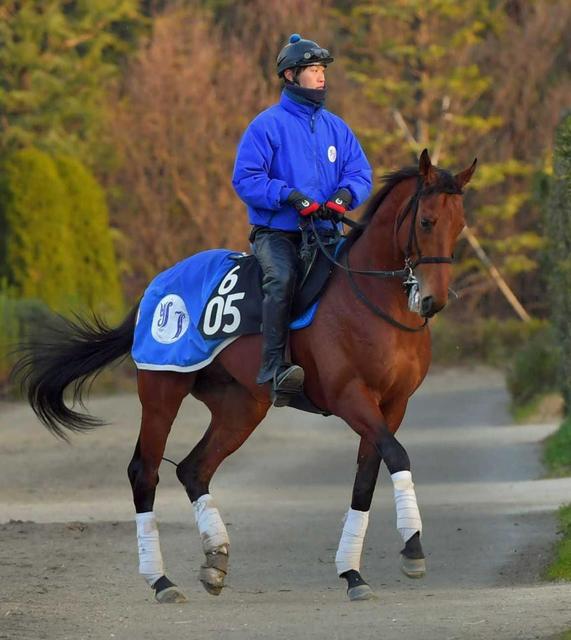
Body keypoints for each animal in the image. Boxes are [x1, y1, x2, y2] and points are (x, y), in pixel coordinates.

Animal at [15, 150, 476, 604]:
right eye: (426, 221)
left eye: (460, 225)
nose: (432, 299)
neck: (373, 302)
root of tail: (157, 285)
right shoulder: (350, 397)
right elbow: (397, 455)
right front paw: (412, 548)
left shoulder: (393, 404)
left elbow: (366, 479)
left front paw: (352, 573)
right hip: (162, 392)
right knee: (144, 472)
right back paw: (161, 581)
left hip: (241, 406)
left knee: (194, 469)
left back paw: (215, 561)